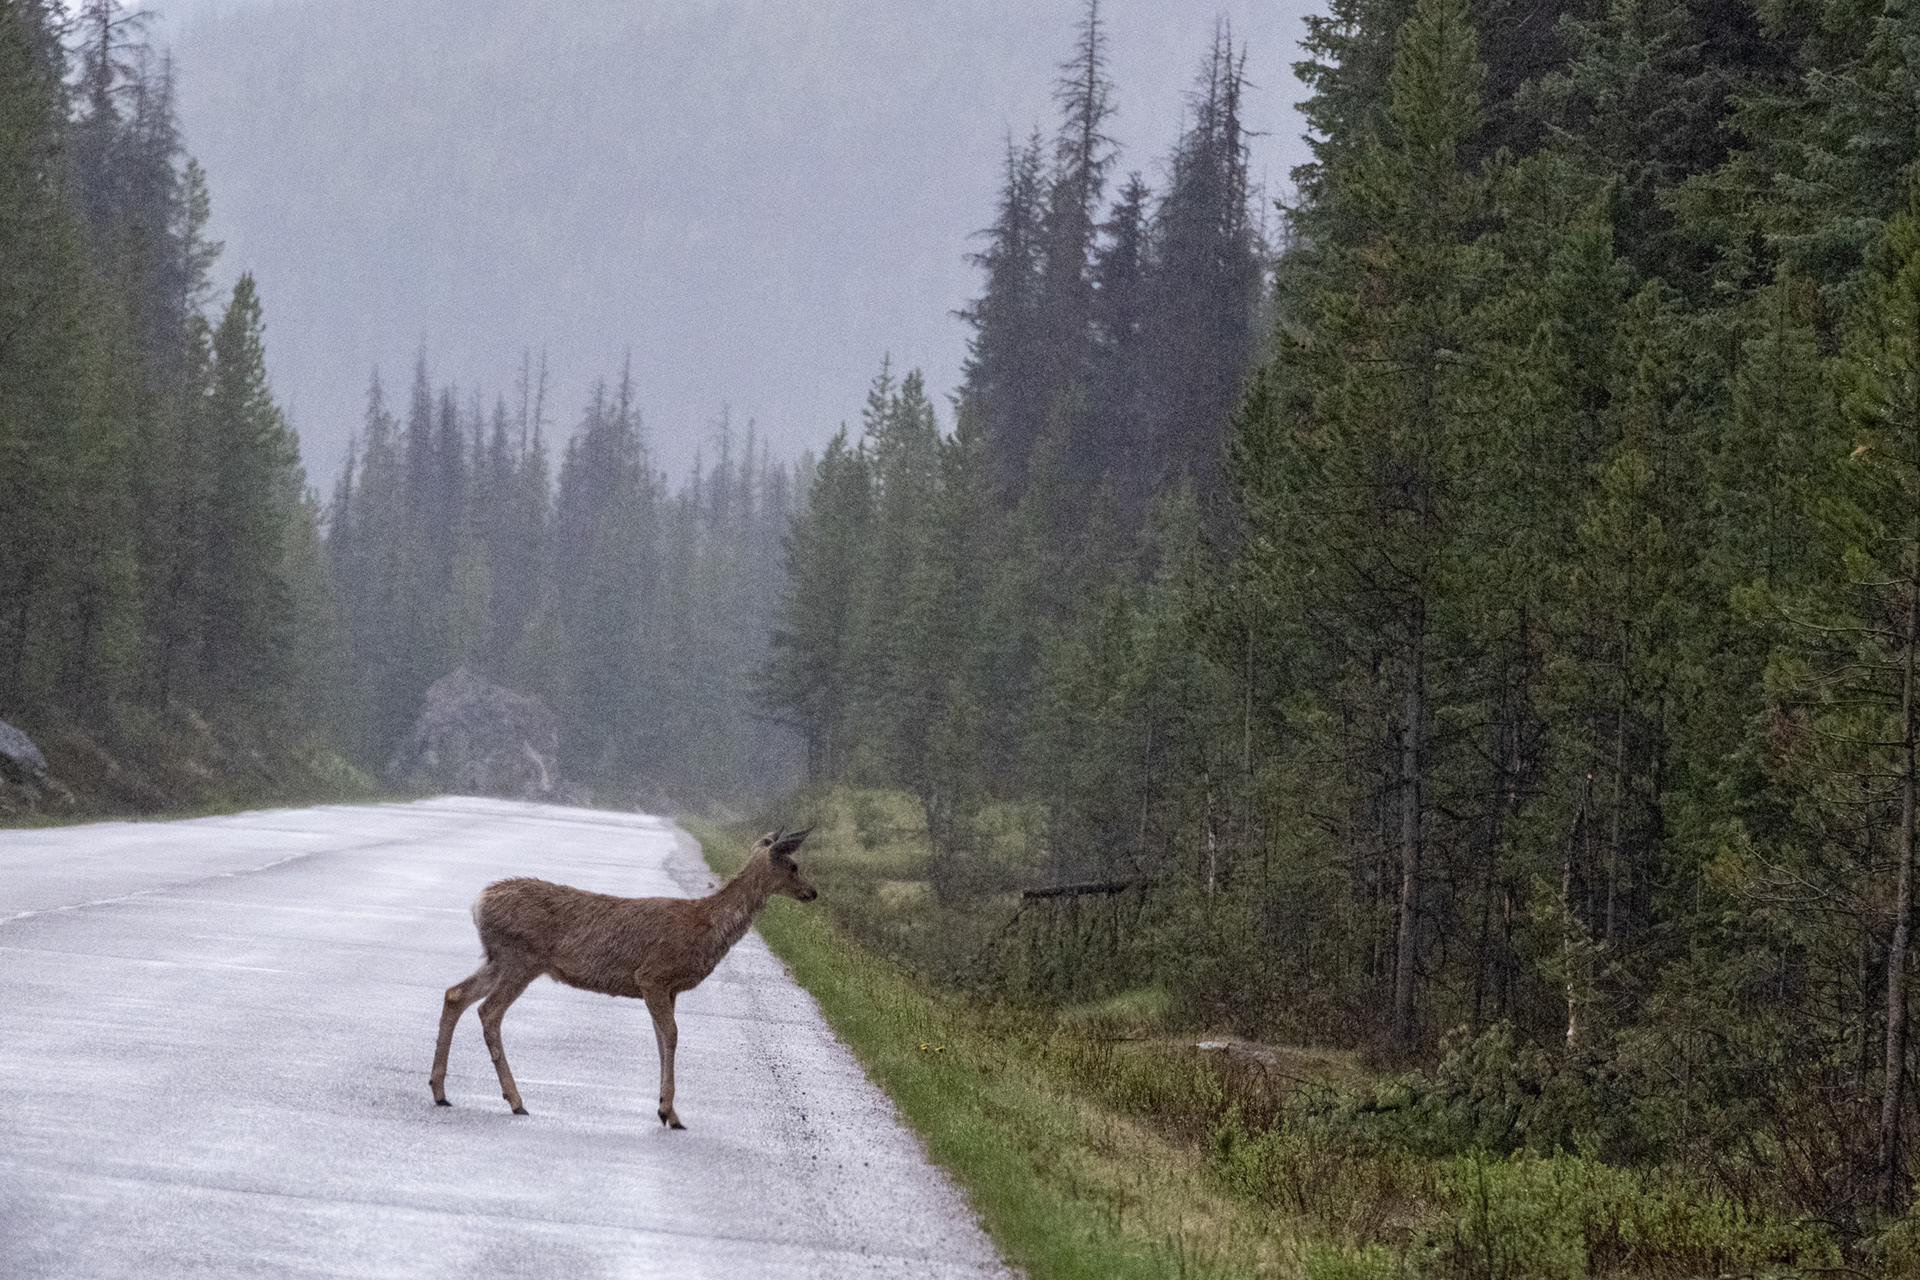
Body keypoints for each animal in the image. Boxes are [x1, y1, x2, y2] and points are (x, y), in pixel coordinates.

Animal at [429, 826, 815, 1129]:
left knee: (455, 994)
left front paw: (666, 1110)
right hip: (520, 958)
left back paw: (441, 1092)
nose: (813, 892)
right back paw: (515, 1100)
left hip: (498, 958)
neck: (705, 926)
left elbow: (661, 1039)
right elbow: (671, 1036)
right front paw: (669, 1113)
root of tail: (478, 902)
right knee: (488, 1011)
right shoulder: (653, 975)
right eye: (794, 866)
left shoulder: (667, 989)